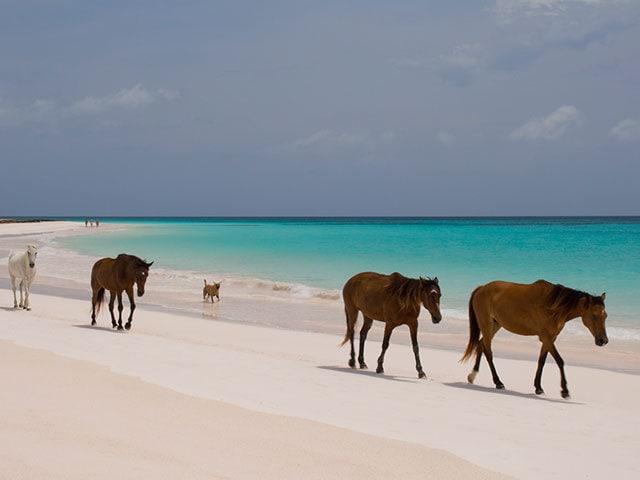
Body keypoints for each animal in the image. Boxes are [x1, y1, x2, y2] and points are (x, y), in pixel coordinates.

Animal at [462, 278, 608, 398]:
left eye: (605, 315)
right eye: (594, 315)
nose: (603, 340)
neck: (553, 306)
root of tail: (481, 288)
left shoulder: (550, 338)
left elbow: (541, 361)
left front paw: (538, 388)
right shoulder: (546, 337)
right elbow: (559, 361)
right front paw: (565, 391)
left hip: (495, 325)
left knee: (481, 344)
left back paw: (472, 375)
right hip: (486, 325)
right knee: (488, 352)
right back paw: (498, 382)